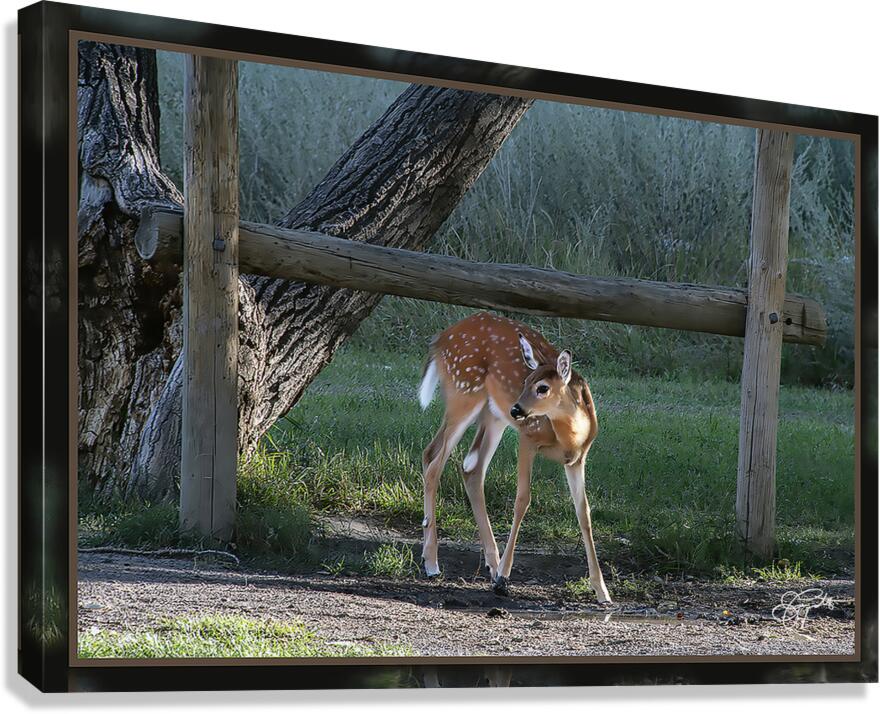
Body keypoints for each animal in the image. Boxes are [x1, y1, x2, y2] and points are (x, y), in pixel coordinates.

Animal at [417, 311, 612, 604]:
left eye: (542, 387)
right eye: (525, 382)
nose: (517, 408)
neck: (570, 436)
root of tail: (441, 338)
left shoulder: (578, 459)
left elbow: (584, 513)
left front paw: (602, 590)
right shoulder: (527, 438)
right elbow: (522, 500)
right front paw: (503, 579)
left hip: (493, 415)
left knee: (468, 467)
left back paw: (490, 564)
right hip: (464, 393)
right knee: (434, 462)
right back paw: (432, 563)